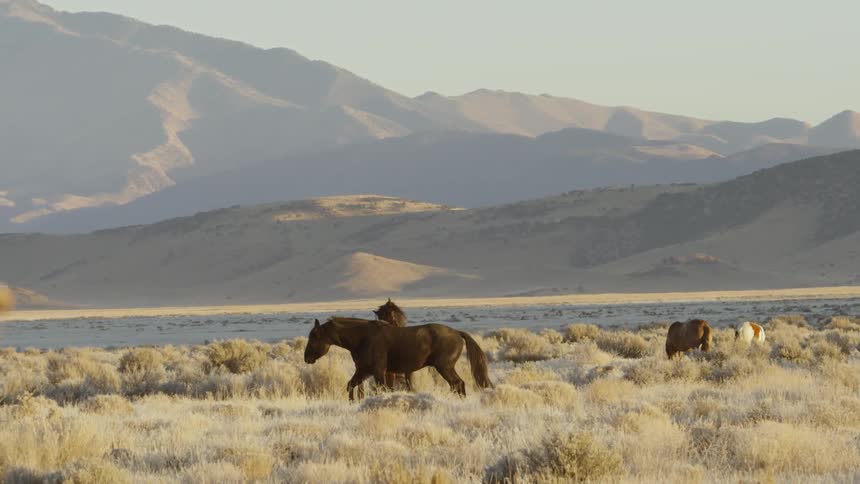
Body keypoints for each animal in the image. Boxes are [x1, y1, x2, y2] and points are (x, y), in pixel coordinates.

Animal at [304, 318, 493, 400]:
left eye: (315, 336)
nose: (306, 358)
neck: (363, 337)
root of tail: (457, 333)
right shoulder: (363, 371)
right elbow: (350, 385)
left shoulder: (378, 372)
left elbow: (381, 390)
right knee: (457, 385)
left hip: (445, 367)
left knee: (457, 384)